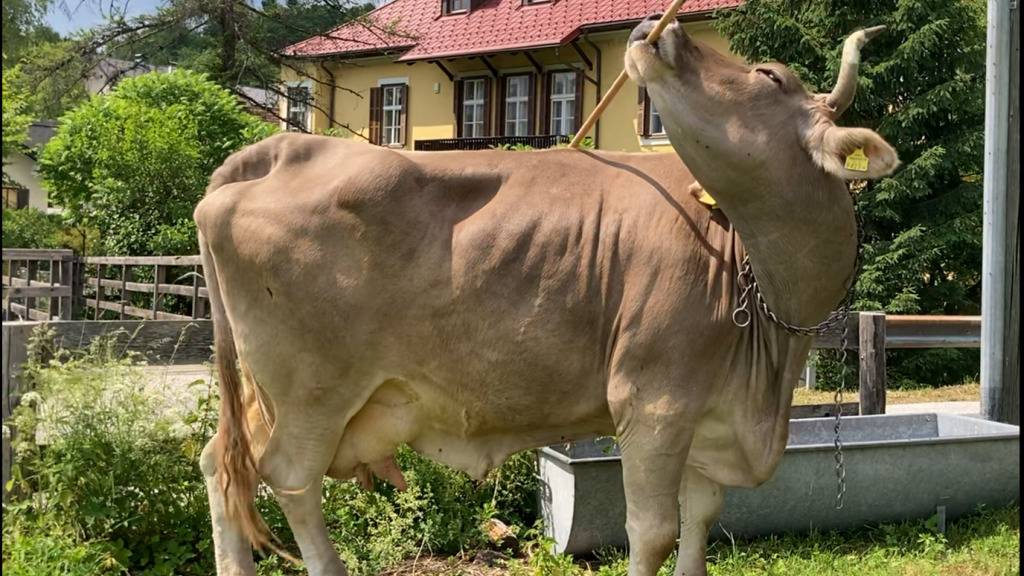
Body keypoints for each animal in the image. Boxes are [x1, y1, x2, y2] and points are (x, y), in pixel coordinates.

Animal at [194, 15, 898, 576]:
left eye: (769, 76)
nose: (659, 27)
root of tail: (282, 147)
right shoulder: (653, 403)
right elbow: (652, 533)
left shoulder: (710, 421)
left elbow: (699, 524)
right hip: (313, 392)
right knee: (290, 482)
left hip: (269, 394)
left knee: (223, 470)